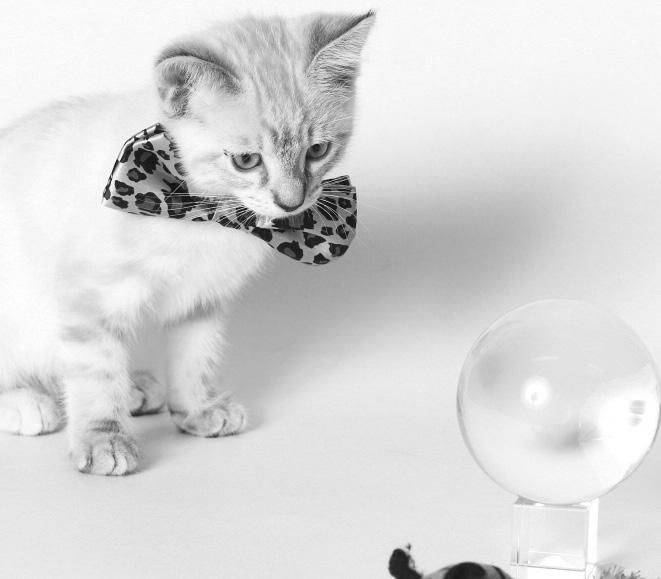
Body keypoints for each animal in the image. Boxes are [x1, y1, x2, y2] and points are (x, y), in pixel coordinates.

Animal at [0, 12, 374, 475]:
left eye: (318, 151)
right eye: (246, 160)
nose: (292, 201)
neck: (205, 213)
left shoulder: (201, 296)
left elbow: (196, 357)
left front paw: (197, 410)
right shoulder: (87, 295)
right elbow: (95, 369)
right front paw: (103, 439)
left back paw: (134, 387)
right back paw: (26, 403)